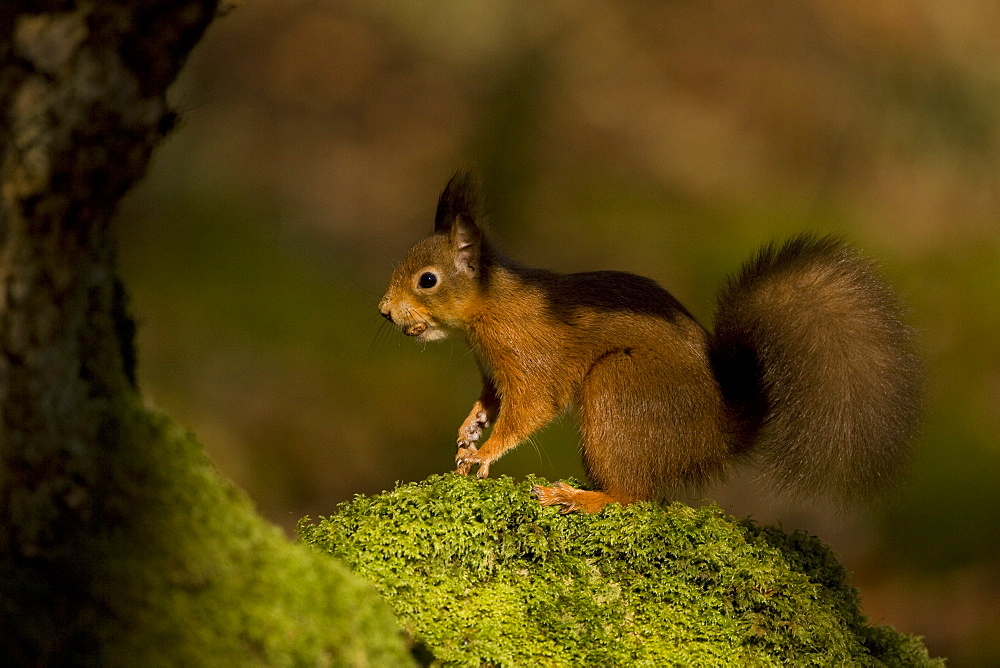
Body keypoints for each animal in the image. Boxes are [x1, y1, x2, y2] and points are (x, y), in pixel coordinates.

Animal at [376, 171, 920, 512]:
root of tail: (715, 435)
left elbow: (529, 409)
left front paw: (485, 452)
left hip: (621, 388)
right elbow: (490, 400)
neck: (490, 309)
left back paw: (581, 498)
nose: (383, 310)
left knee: (632, 495)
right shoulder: (493, 370)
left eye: (427, 280)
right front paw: (469, 430)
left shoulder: (530, 358)